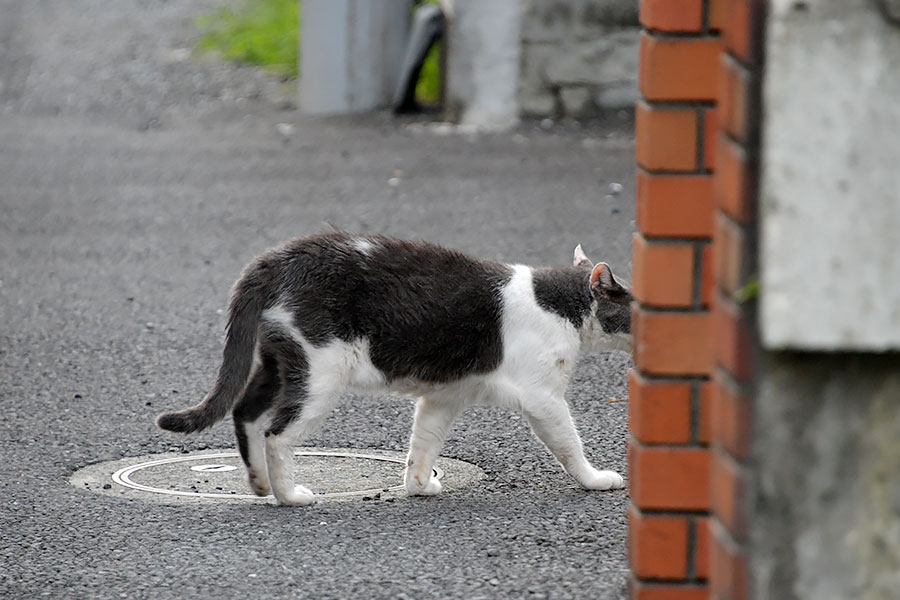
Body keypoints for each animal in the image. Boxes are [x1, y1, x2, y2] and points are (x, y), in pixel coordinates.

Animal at [156, 232, 632, 504]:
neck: (561, 305)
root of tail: (277, 257)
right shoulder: (543, 397)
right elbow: (569, 444)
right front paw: (595, 479)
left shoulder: (445, 396)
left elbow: (424, 444)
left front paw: (418, 485)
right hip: (320, 372)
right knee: (277, 433)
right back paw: (288, 495)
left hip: (280, 361)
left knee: (245, 412)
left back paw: (258, 483)